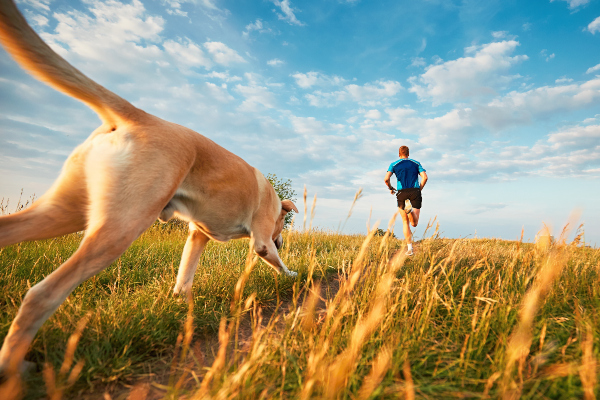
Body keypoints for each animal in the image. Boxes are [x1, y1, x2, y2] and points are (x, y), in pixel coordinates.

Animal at [0, 0, 298, 376]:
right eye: (281, 226)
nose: (282, 240)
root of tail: (138, 115)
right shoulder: (260, 241)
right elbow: (277, 262)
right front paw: (293, 274)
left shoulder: (197, 236)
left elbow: (185, 274)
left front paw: (181, 303)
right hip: (120, 227)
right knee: (42, 294)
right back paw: (13, 365)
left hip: (63, 212)